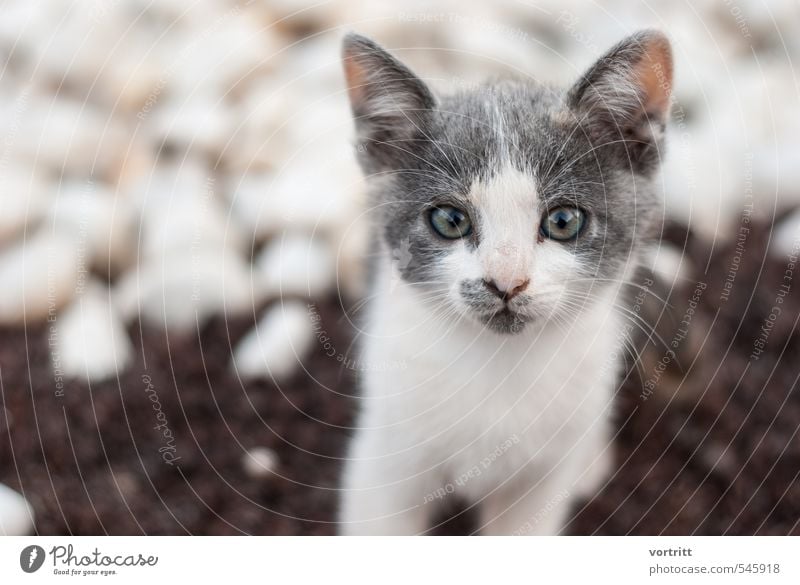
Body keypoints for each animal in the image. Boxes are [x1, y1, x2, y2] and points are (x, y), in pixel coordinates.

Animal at [340, 30, 672, 532]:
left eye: (563, 221)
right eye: (450, 220)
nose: (506, 283)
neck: (500, 365)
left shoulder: (541, 477)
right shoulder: (386, 454)